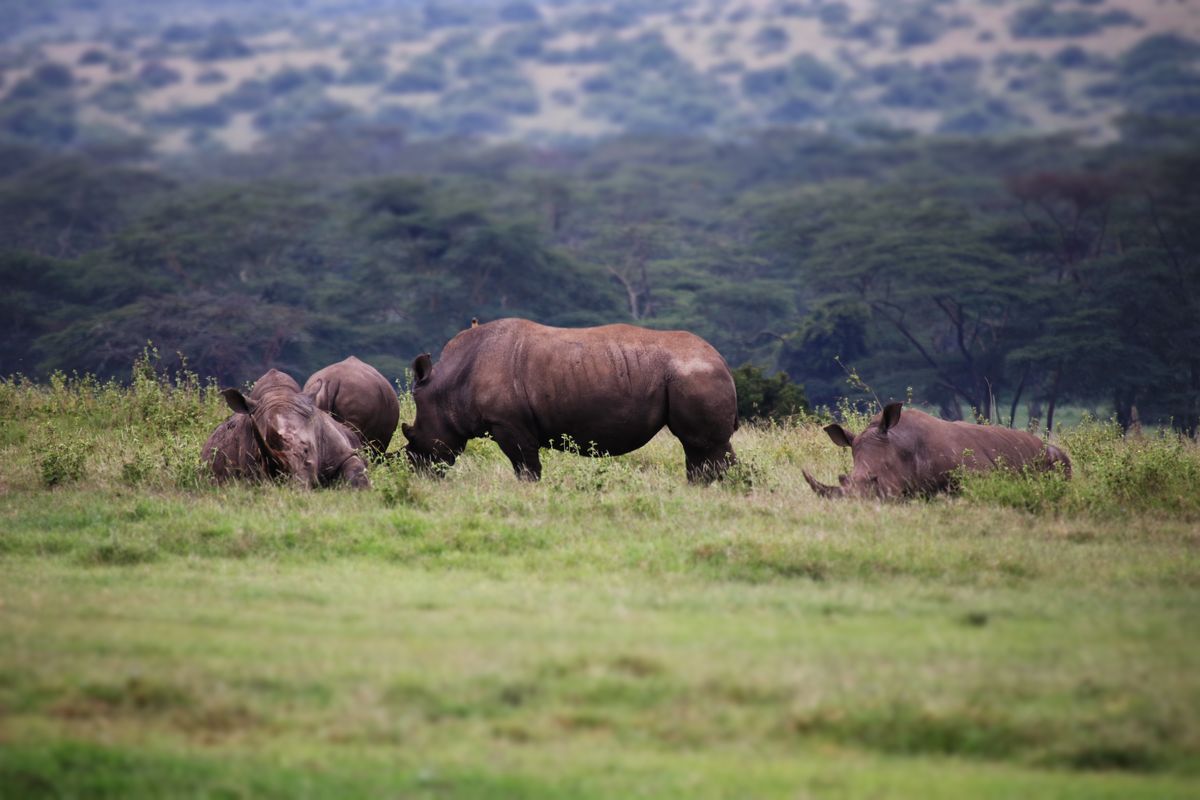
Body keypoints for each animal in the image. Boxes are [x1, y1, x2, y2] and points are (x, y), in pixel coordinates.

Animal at [401, 318, 739, 482]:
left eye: (414, 438)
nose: (421, 476)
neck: (450, 384)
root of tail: (723, 360)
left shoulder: (508, 423)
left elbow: (526, 467)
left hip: (695, 373)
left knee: (702, 444)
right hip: (693, 372)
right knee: (699, 448)